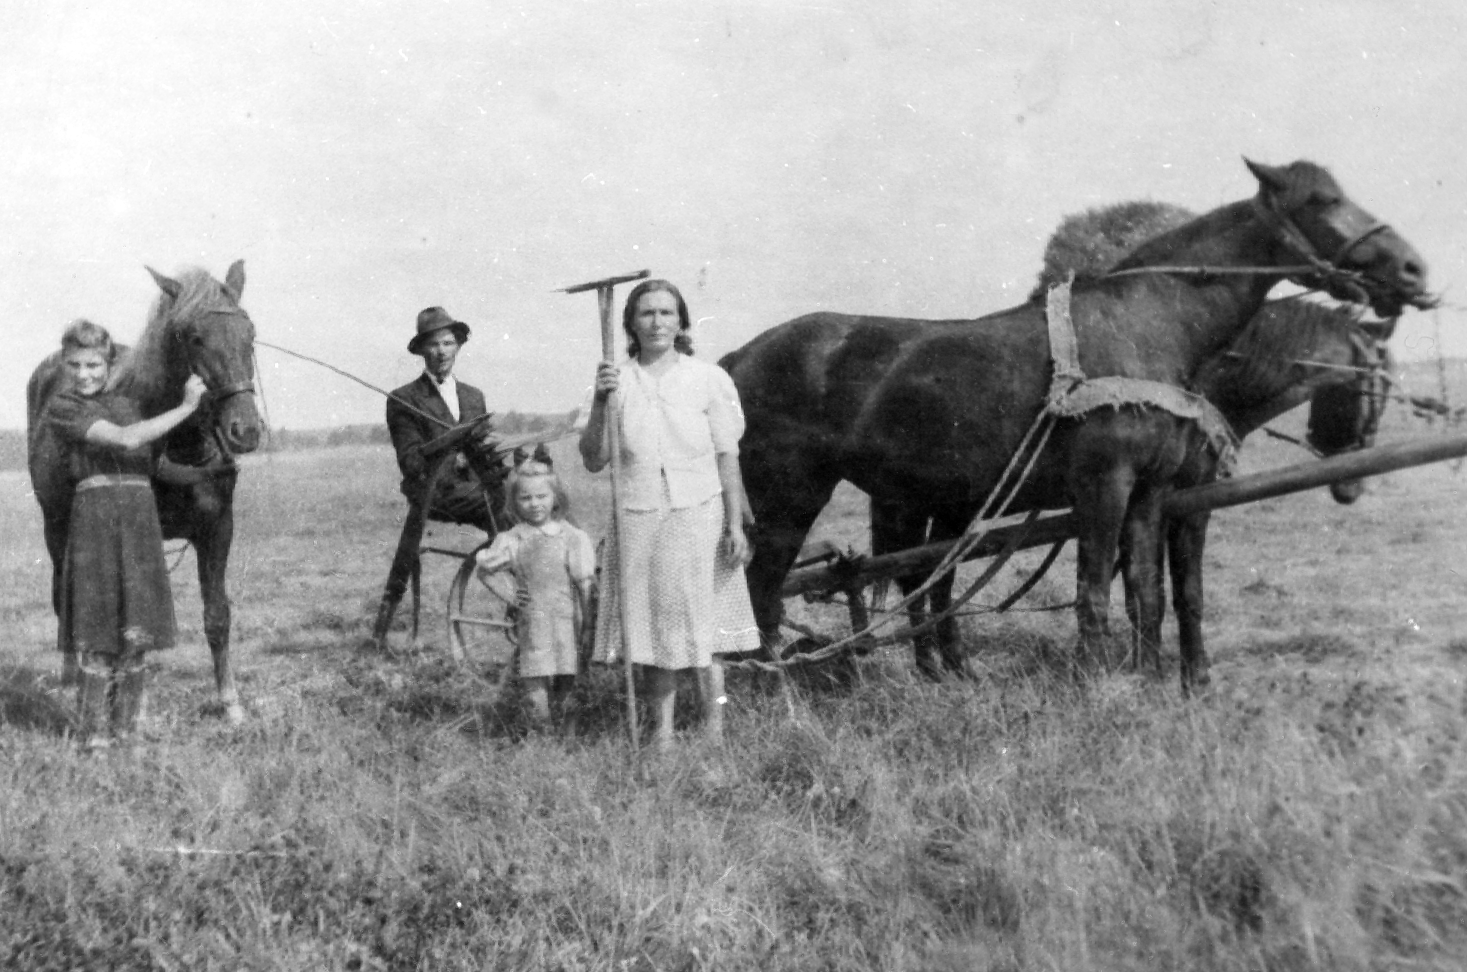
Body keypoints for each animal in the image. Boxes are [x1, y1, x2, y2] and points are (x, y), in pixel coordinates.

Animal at [28, 262, 264, 727]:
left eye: (249, 331)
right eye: (193, 336)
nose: (244, 430)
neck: (181, 445)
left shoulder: (218, 530)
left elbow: (217, 615)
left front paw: (230, 703)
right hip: (56, 526)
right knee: (65, 603)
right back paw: (70, 685)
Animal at [721, 161, 1431, 691]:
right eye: (1324, 200)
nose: (1413, 270)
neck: (1153, 325)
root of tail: (736, 358)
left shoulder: (1156, 492)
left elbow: (1155, 592)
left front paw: (1159, 682)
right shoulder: (1106, 484)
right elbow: (1096, 591)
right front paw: (1096, 683)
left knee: (918, 580)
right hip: (787, 497)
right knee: (764, 591)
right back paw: (777, 688)